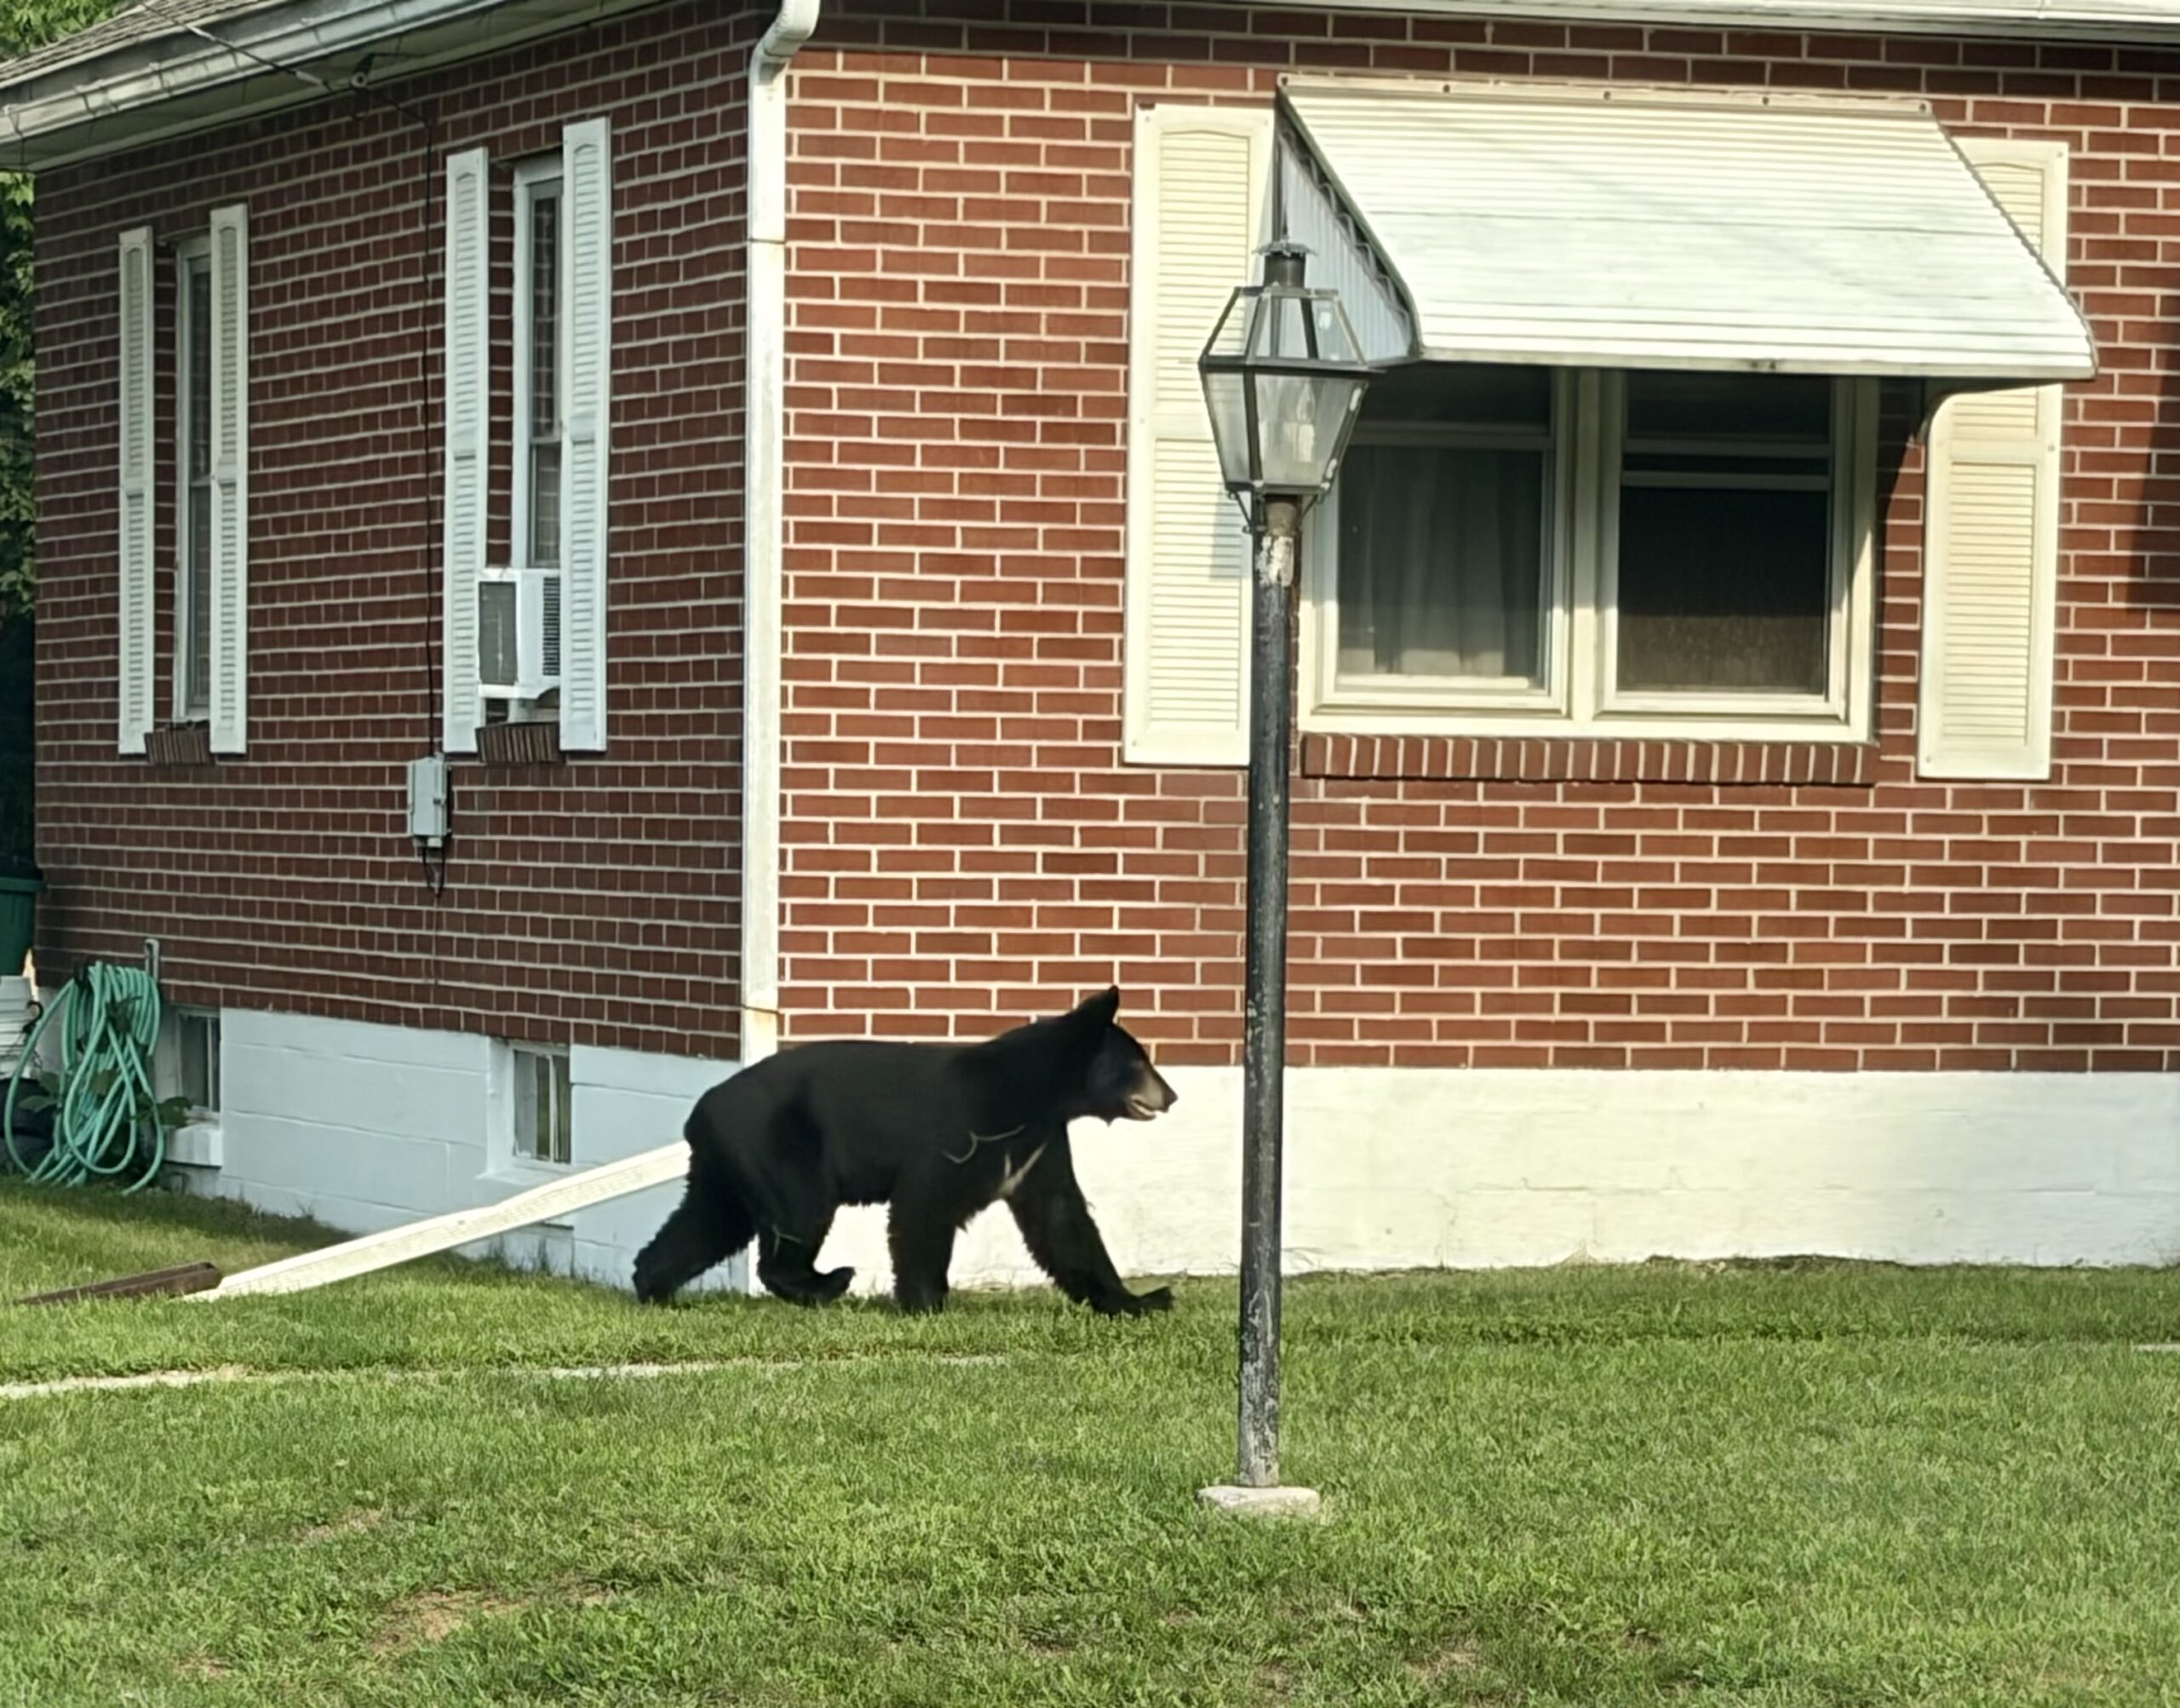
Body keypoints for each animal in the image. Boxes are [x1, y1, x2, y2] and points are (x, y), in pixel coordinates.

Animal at [632, 987, 1179, 1315]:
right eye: (1138, 1062)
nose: (1171, 1095)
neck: (1033, 1094)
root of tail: (700, 1112)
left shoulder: (1038, 1146)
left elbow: (1062, 1218)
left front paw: (1142, 1298)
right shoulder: (963, 1131)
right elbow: (925, 1205)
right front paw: (927, 1301)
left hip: (729, 1164)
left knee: (706, 1223)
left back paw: (651, 1283)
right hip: (776, 1149)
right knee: (798, 1213)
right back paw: (828, 1281)